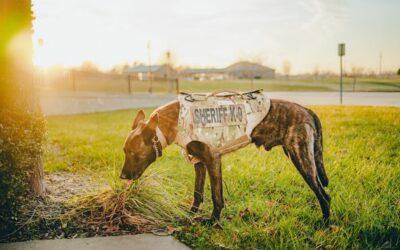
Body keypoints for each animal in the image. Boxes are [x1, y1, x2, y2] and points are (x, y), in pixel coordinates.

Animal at [120, 99, 330, 221]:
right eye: (124, 151)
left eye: (133, 152)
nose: (122, 177)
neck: (177, 119)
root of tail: (307, 109)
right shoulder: (199, 163)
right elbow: (198, 193)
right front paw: (190, 215)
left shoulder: (213, 160)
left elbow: (216, 196)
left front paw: (213, 221)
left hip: (301, 158)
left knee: (324, 195)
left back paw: (325, 225)